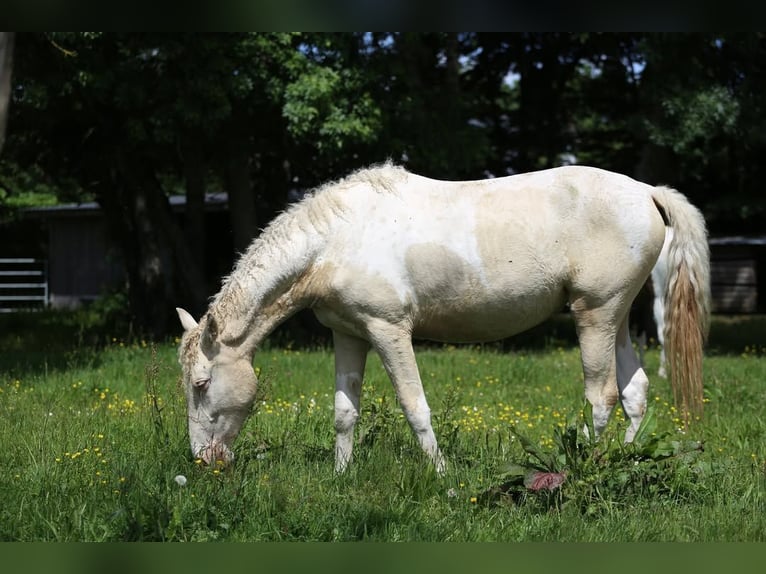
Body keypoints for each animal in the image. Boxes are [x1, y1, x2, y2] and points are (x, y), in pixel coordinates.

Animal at [176, 162, 711, 473]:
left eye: (201, 384)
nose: (203, 461)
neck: (335, 241)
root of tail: (647, 191)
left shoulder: (389, 330)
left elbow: (415, 407)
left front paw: (444, 478)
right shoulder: (349, 335)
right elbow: (345, 412)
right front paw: (341, 478)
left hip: (595, 315)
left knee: (601, 398)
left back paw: (578, 468)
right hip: (613, 316)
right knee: (635, 391)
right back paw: (622, 458)